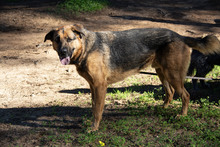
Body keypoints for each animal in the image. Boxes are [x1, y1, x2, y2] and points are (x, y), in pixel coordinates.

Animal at [44, 24, 220, 132]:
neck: (86, 48)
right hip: (162, 73)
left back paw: (182, 115)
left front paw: (94, 128)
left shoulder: (100, 86)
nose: (63, 53)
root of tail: (179, 35)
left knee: (185, 95)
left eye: (70, 39)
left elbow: (98, 110)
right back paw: (162, 108)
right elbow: (94, 107)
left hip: (173, 75)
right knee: (170, 93)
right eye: (57, 40)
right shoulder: (93, 87)